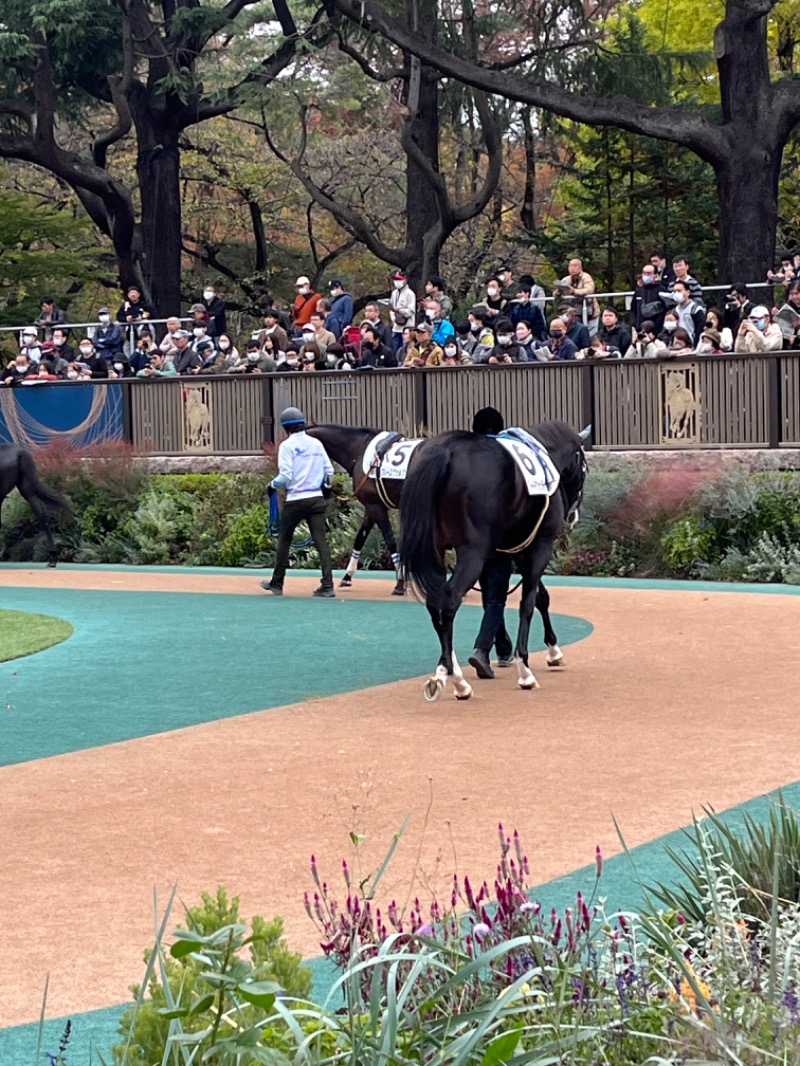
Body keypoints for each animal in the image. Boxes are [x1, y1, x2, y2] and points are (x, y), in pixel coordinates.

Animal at [401, 420, 588, 703]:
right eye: (585, 467)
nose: (573, 514)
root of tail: (444, 450)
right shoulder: (540, 546)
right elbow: (528, 602)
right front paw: (526, 671)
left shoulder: (517, 550)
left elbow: (539, 597)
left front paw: (554, 651)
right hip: (473, 552)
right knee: (450, 599)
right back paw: (459, 682)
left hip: (435, 551)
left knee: (436, 602)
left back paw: (446, 671)